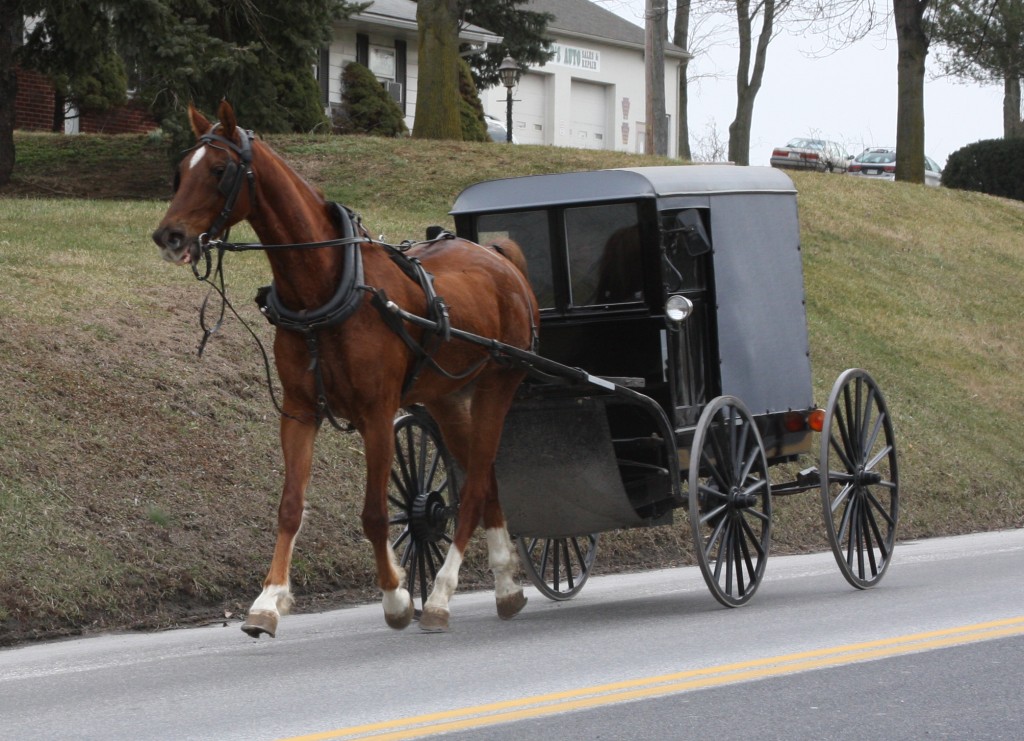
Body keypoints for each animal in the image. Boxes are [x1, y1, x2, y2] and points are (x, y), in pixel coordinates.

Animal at [151, 99, 540, 638]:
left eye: (220, 170)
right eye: (179, 171)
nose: (168, 236)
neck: (325, 289)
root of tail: (501, 259)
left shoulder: (377, 414)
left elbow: (374, 514)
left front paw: (397, 596)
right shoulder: (298, 412)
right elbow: (290, 507)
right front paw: (268, 600)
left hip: (498, 386)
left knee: (477, 483)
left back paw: (440, 595)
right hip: (446, 398)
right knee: (486, 483)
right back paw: (505, 587)